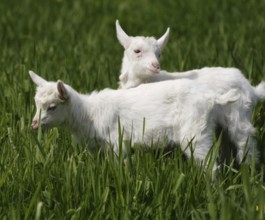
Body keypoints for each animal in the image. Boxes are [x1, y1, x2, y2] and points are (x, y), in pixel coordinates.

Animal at [115, 20, 264, 163]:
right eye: (137, 51)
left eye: (159, 54)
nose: (156, 66)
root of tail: (251, 87)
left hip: (240, 113)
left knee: (245, 141)